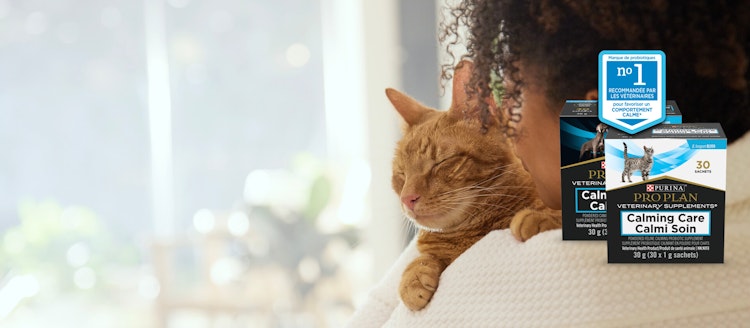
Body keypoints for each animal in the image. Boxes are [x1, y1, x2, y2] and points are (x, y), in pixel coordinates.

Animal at [384, 60, 560, 310]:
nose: (407, 199)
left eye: (441, 163)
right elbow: (423, 258)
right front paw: (413, 276)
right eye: (401, 174)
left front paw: (538, 216)